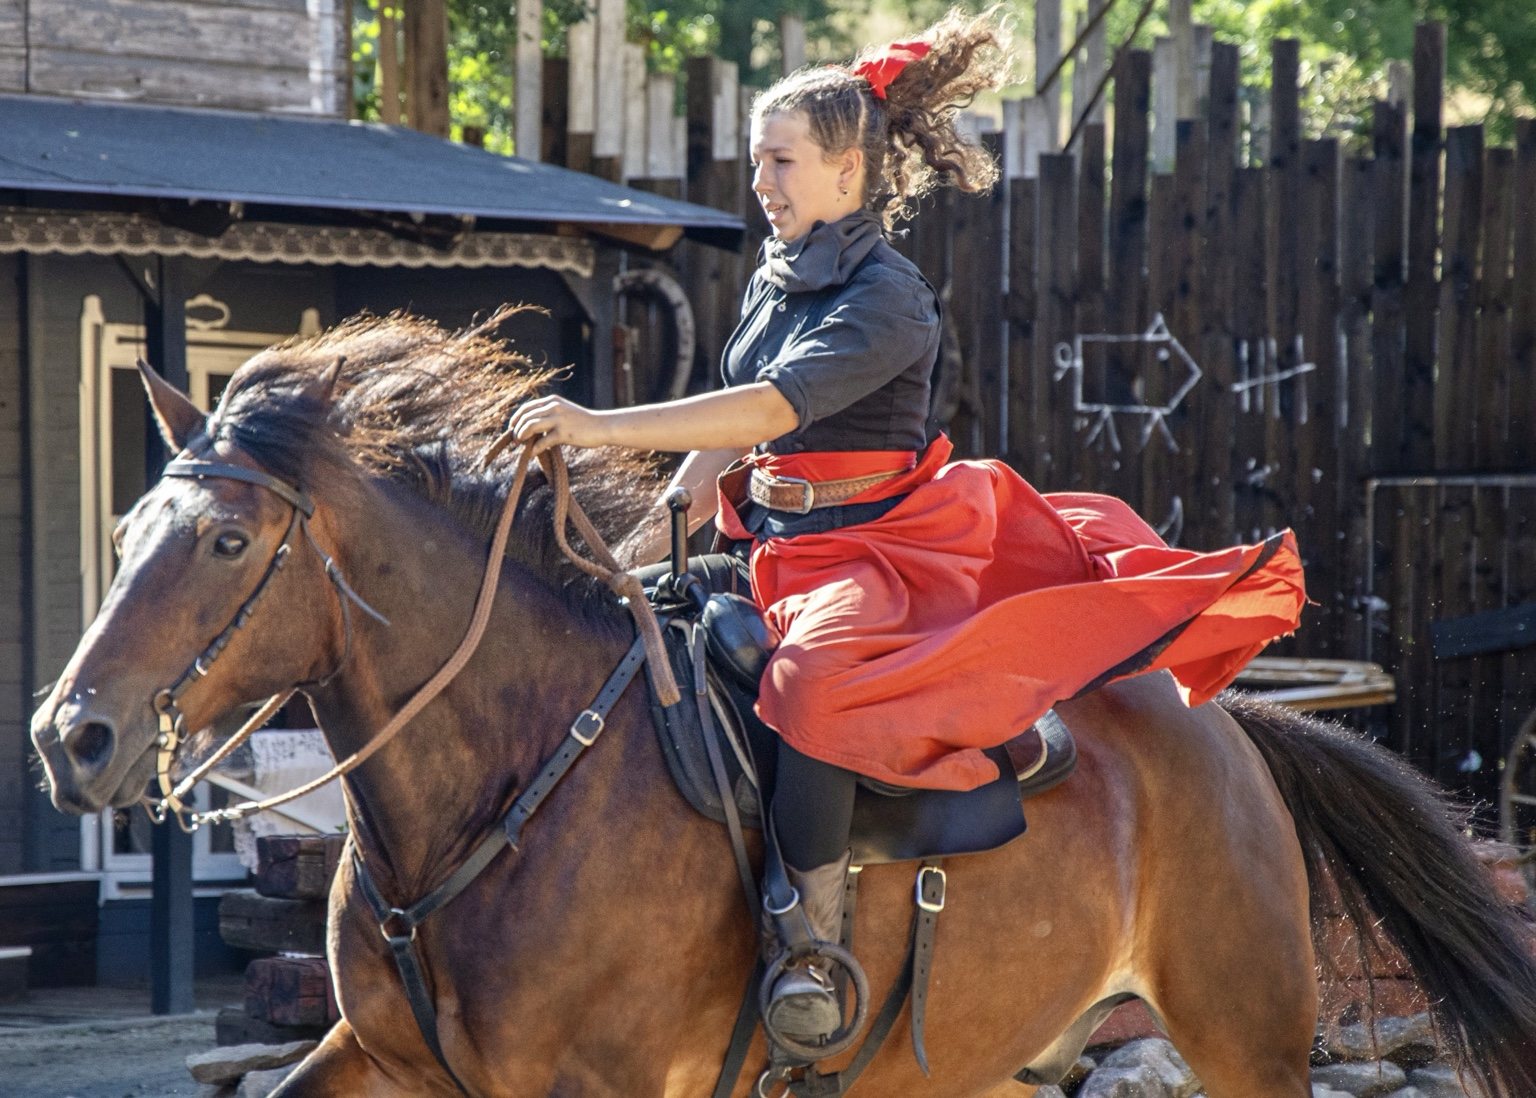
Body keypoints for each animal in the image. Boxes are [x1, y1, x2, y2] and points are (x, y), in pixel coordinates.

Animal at [30, 310, 1536, 1097]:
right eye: (129, 531)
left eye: (229, 542)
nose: (72, 736)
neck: (503, 789)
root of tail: (1228, 728)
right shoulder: (381, 1061)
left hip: (1245, 1032)